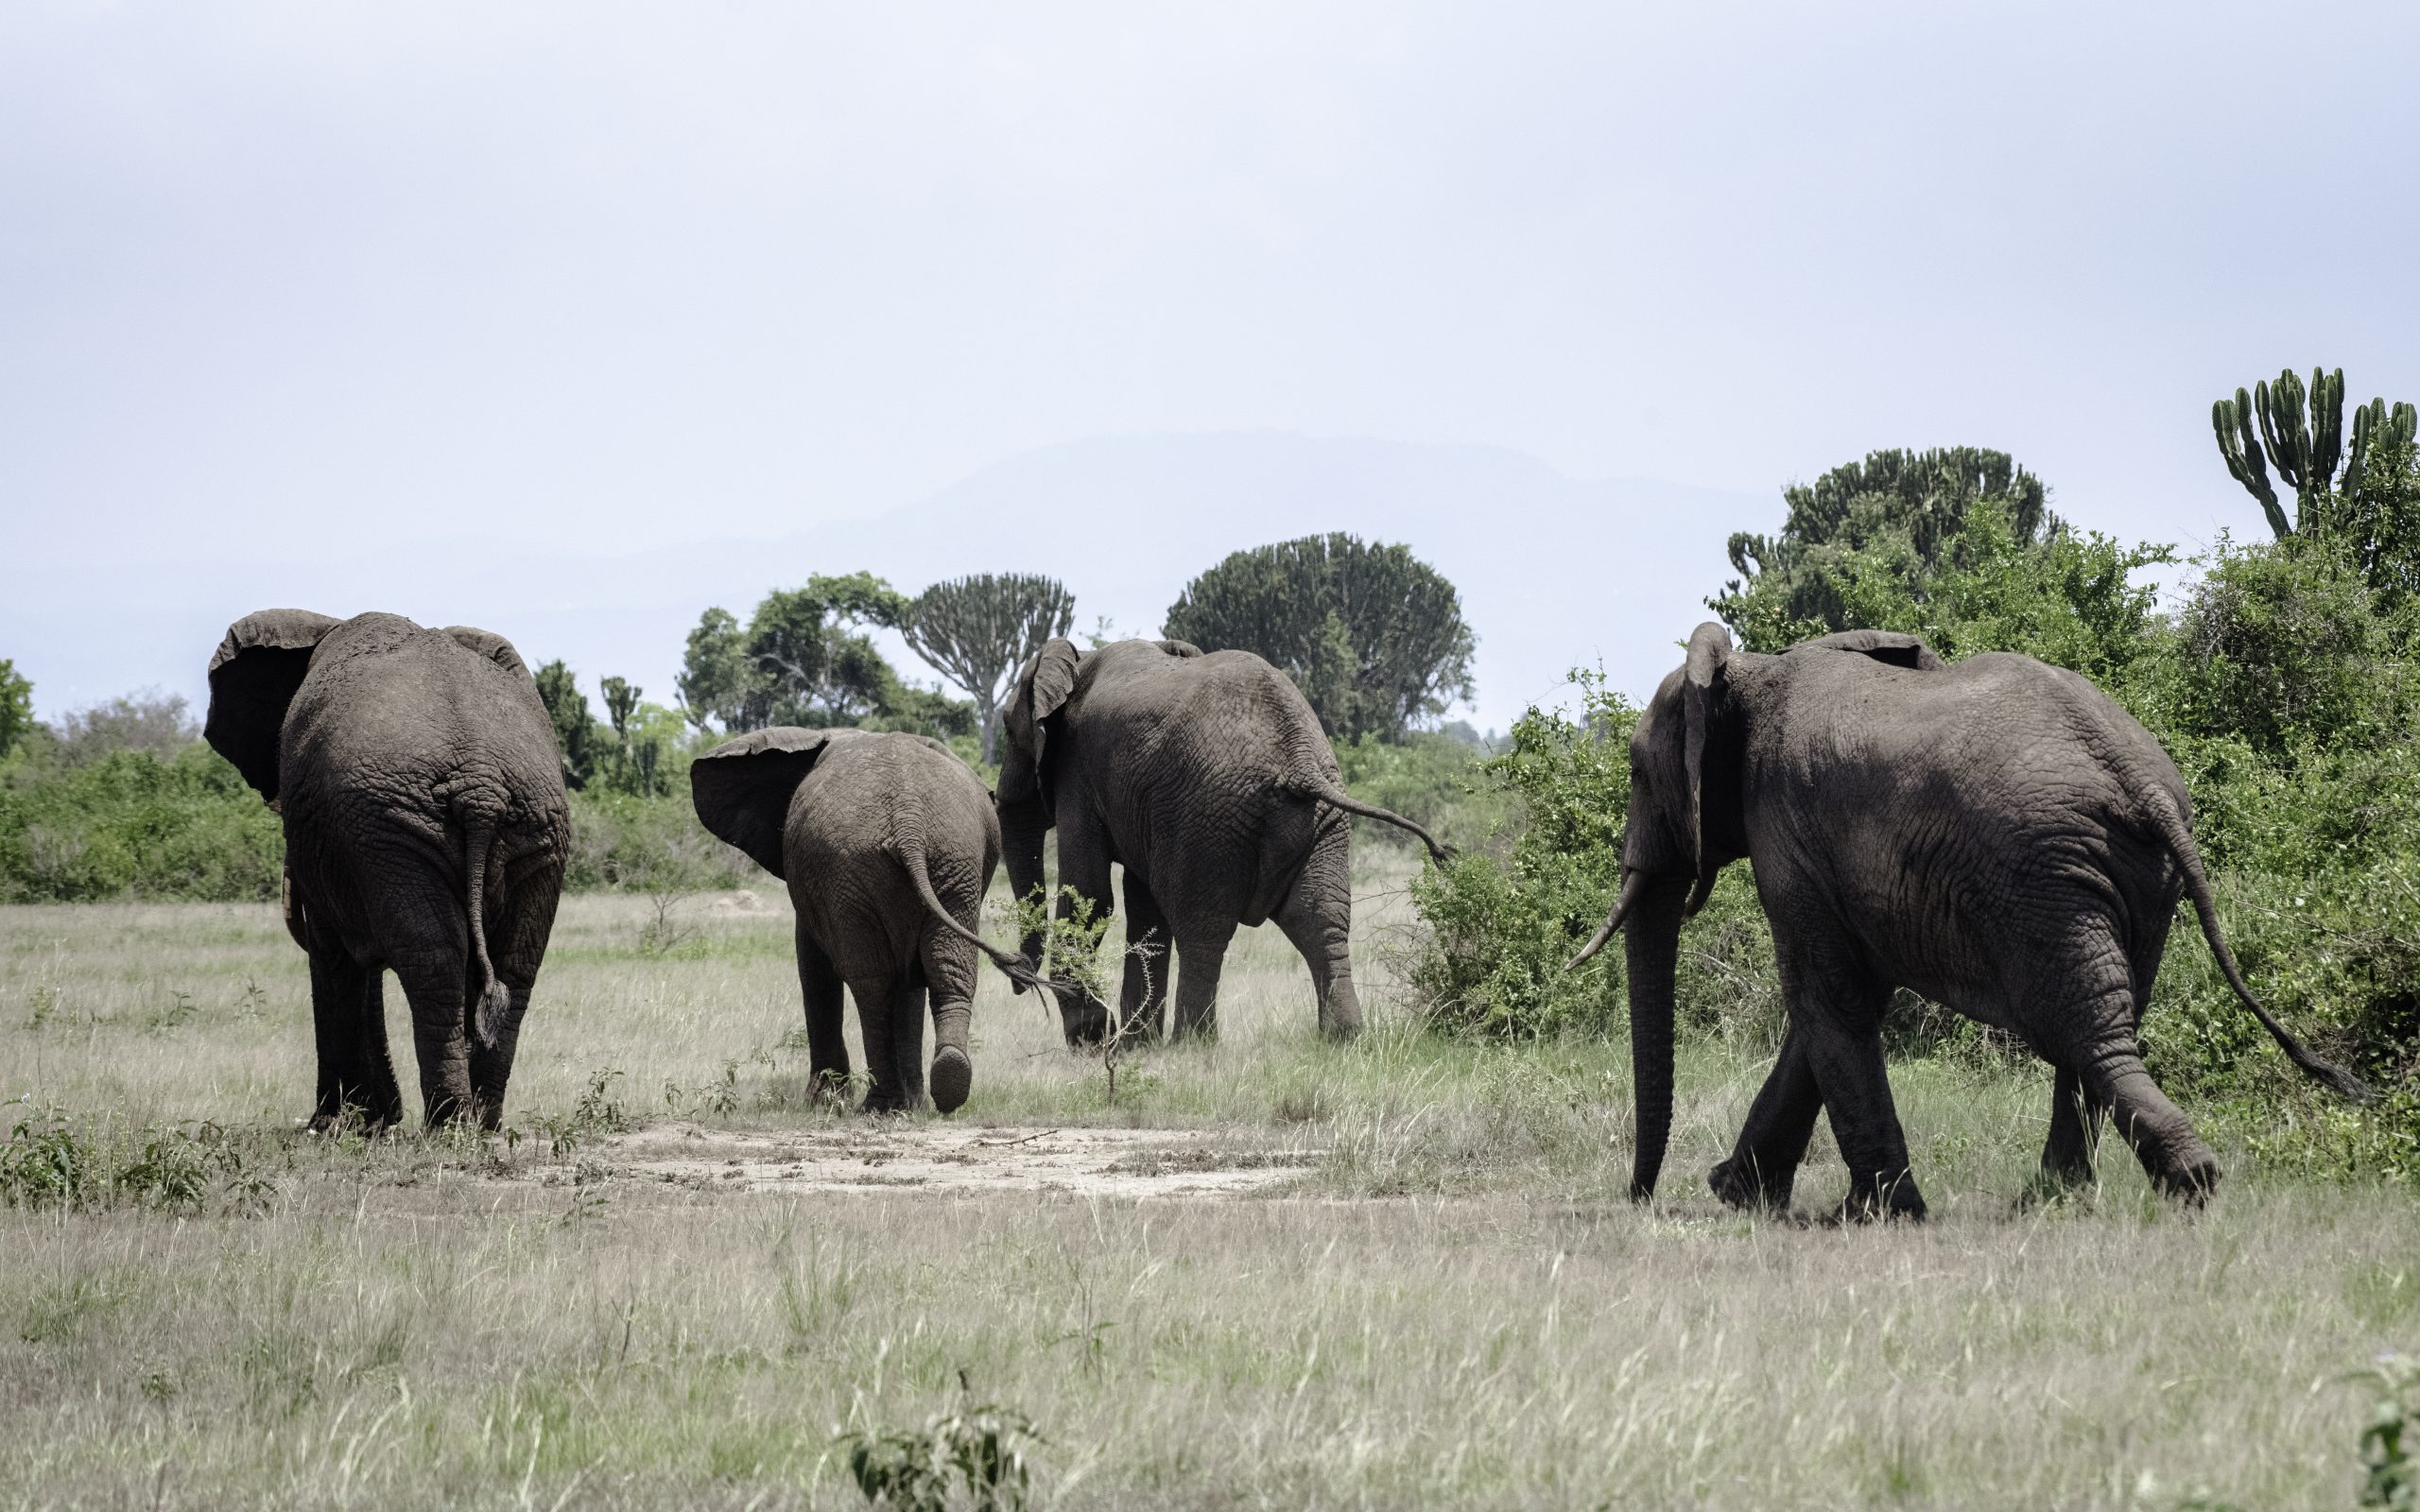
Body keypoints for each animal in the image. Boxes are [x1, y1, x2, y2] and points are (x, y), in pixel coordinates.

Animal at [204, 609, 570, 1131]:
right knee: (513, 965)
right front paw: (369, 1122)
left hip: (394, 827)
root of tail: (480, 787)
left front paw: (333, 1126)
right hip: (526, 827)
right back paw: (481, 1124)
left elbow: (331, 952)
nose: (386, 1115)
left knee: (434, 958)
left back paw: (448, 1125)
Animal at [690, 726, 1039, 1113]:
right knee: (947, 969)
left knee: (871, 982)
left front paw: (822, 1103)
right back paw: (945, 1084)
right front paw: (912, 1103)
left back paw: (879, 1106)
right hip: (952, 860)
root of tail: (908, 820)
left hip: (856, 870)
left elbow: (814, 967)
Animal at [997, 637, 1448, 1045]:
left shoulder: (1078, 774)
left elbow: (1090, 894)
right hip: (1321, 823)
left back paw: (1193, 1047)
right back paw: (1344, 1039)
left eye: (1005, 726)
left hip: (1207, 818)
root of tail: (1299, 760)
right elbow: (1142, 907)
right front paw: (1131, 1046)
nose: (1020, 981)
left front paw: (1094, 1042)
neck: (1079, 658)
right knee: (1320, 919)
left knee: (1202, 930)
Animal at [1570, 623, 2367, 1219]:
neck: (1748, 674)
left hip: (2040, 873)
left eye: (1637, 770)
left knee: (2084, 1035)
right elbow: (1847, 1002)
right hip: (2131, 880)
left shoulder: (1785, 827)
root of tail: (2142, 777)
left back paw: (2179, 1185)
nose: (1639, 1199)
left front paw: (1872, 1215)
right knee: (2101, 1027)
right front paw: (1742, 1196)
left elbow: (1826, 999)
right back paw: (2070, 1199)